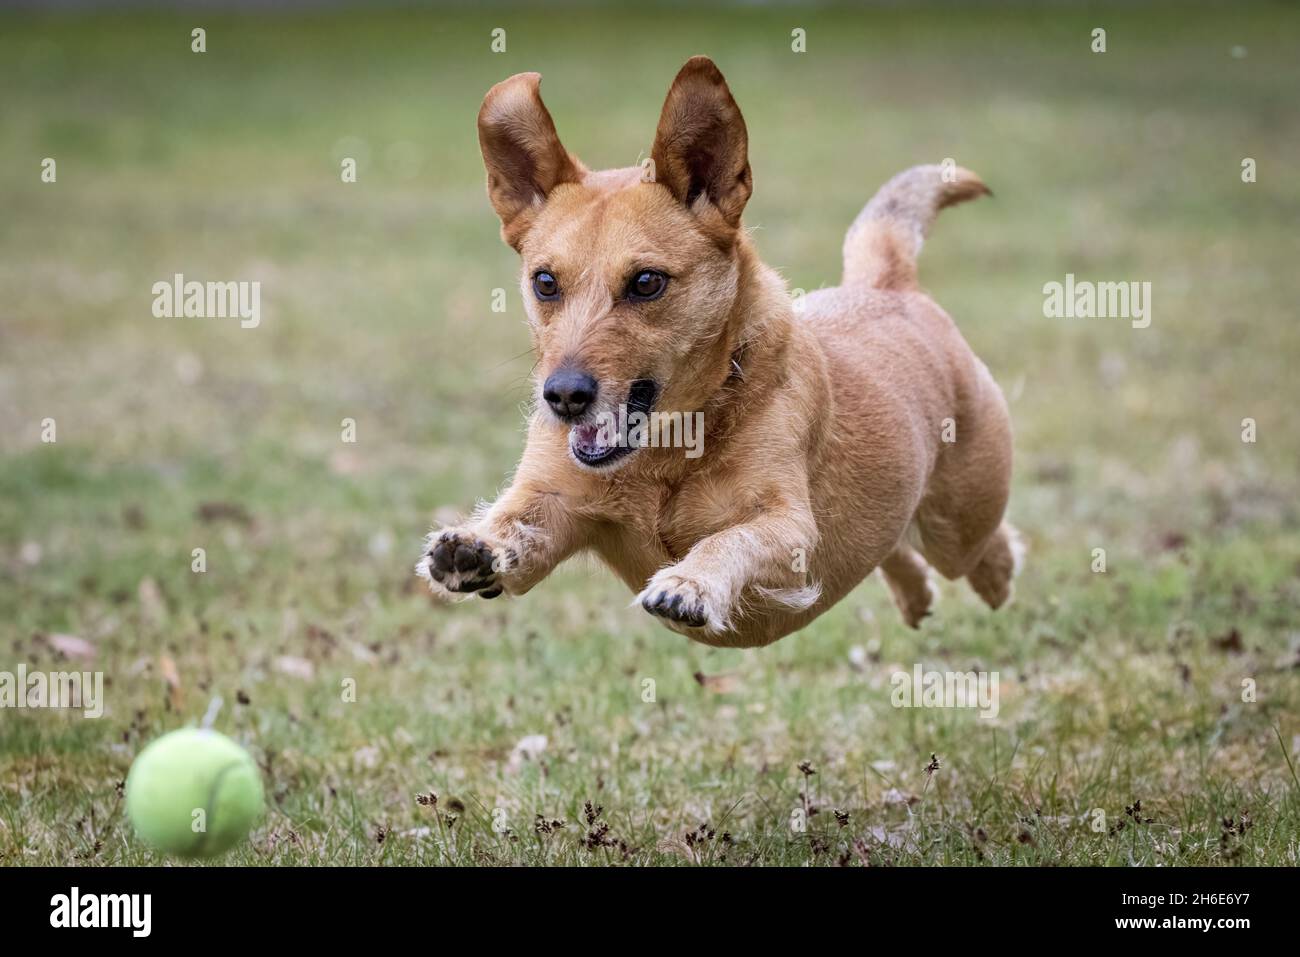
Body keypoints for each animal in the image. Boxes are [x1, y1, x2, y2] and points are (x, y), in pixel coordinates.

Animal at [421, 54, 1019, 650]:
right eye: (545, 282)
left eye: (646, 282)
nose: (563, 397)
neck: (664, 455)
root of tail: (886, 285)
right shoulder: (556, 502)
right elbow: (518, 525)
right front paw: (475, 544)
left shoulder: (789, 530)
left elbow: (729, 540)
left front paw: (690, 583)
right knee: (894, 547)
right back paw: (915, 596)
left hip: (958, 523)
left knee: (982, 544)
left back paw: (998, 576)